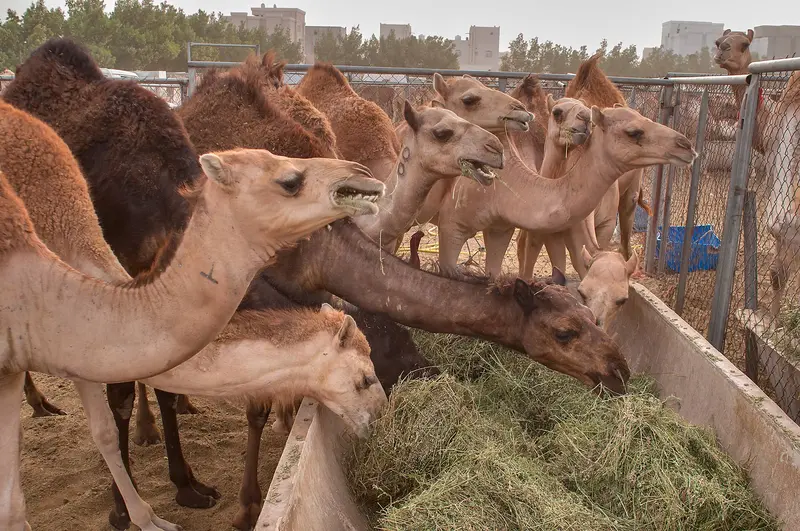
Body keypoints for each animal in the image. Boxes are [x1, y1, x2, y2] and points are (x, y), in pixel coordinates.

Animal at [0, 103, 385, 531]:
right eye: (289, 180)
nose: (362, 173)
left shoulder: (61, 355)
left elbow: (101, 433)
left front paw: (155, 512)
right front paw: (130, 512)